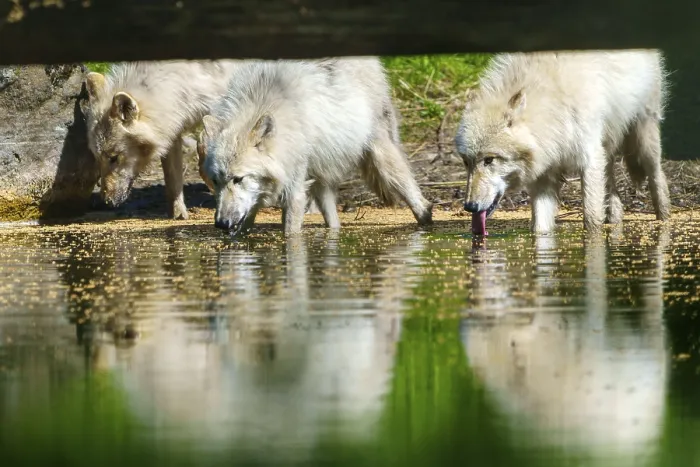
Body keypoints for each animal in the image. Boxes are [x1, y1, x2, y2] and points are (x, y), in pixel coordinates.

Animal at [83, 60, 242, 219]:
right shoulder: (172, 129)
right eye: (98, 158)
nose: (106, 201)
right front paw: (177, 213)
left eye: (114, 158)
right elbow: (172, 179)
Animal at [197, 57, 433, 235]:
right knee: (334, 221)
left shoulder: (295, 191)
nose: (221, 223)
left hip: (380, 155)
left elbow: (291, 235)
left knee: (417, 198)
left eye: (238, 179)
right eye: (215, 181)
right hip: (322, 179)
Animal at [454, 50, 671, 235]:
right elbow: (540, 228)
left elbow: (591, 221)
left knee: (657, 176)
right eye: (466, 162)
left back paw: (664, 218)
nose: (469, 206)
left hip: (644, 138)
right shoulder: (544, 173)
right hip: (606, 149)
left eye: (489, 160)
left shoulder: (589, 159)